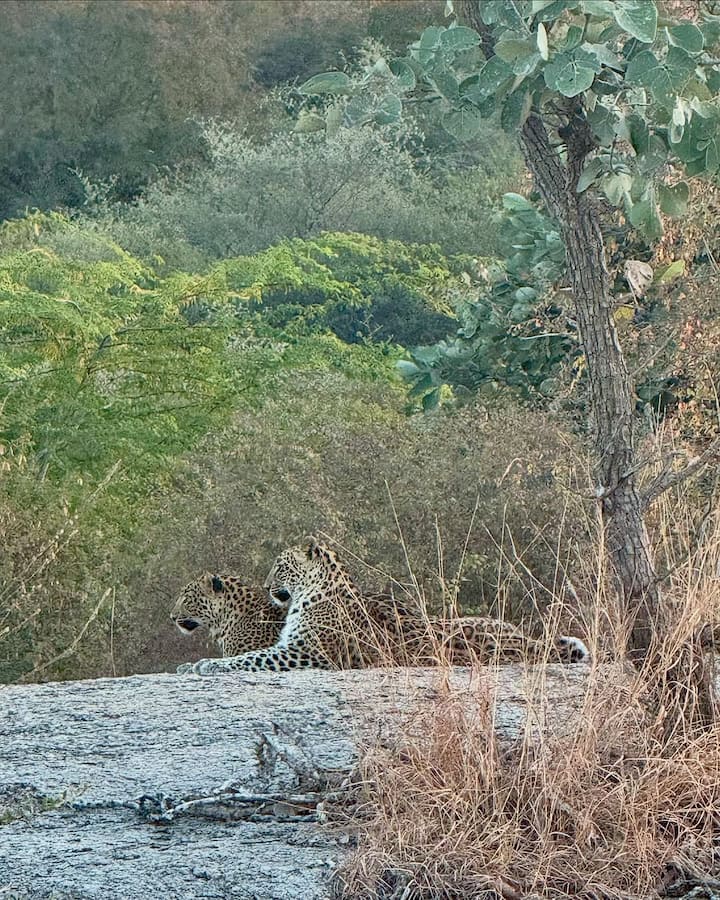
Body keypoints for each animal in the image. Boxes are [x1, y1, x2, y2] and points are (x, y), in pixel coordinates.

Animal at [177, 536, 588, 676]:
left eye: (281, 566)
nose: (266, 586)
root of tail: (523, 642)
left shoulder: (307, 653)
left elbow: (248, 659)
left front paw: (204, 665)